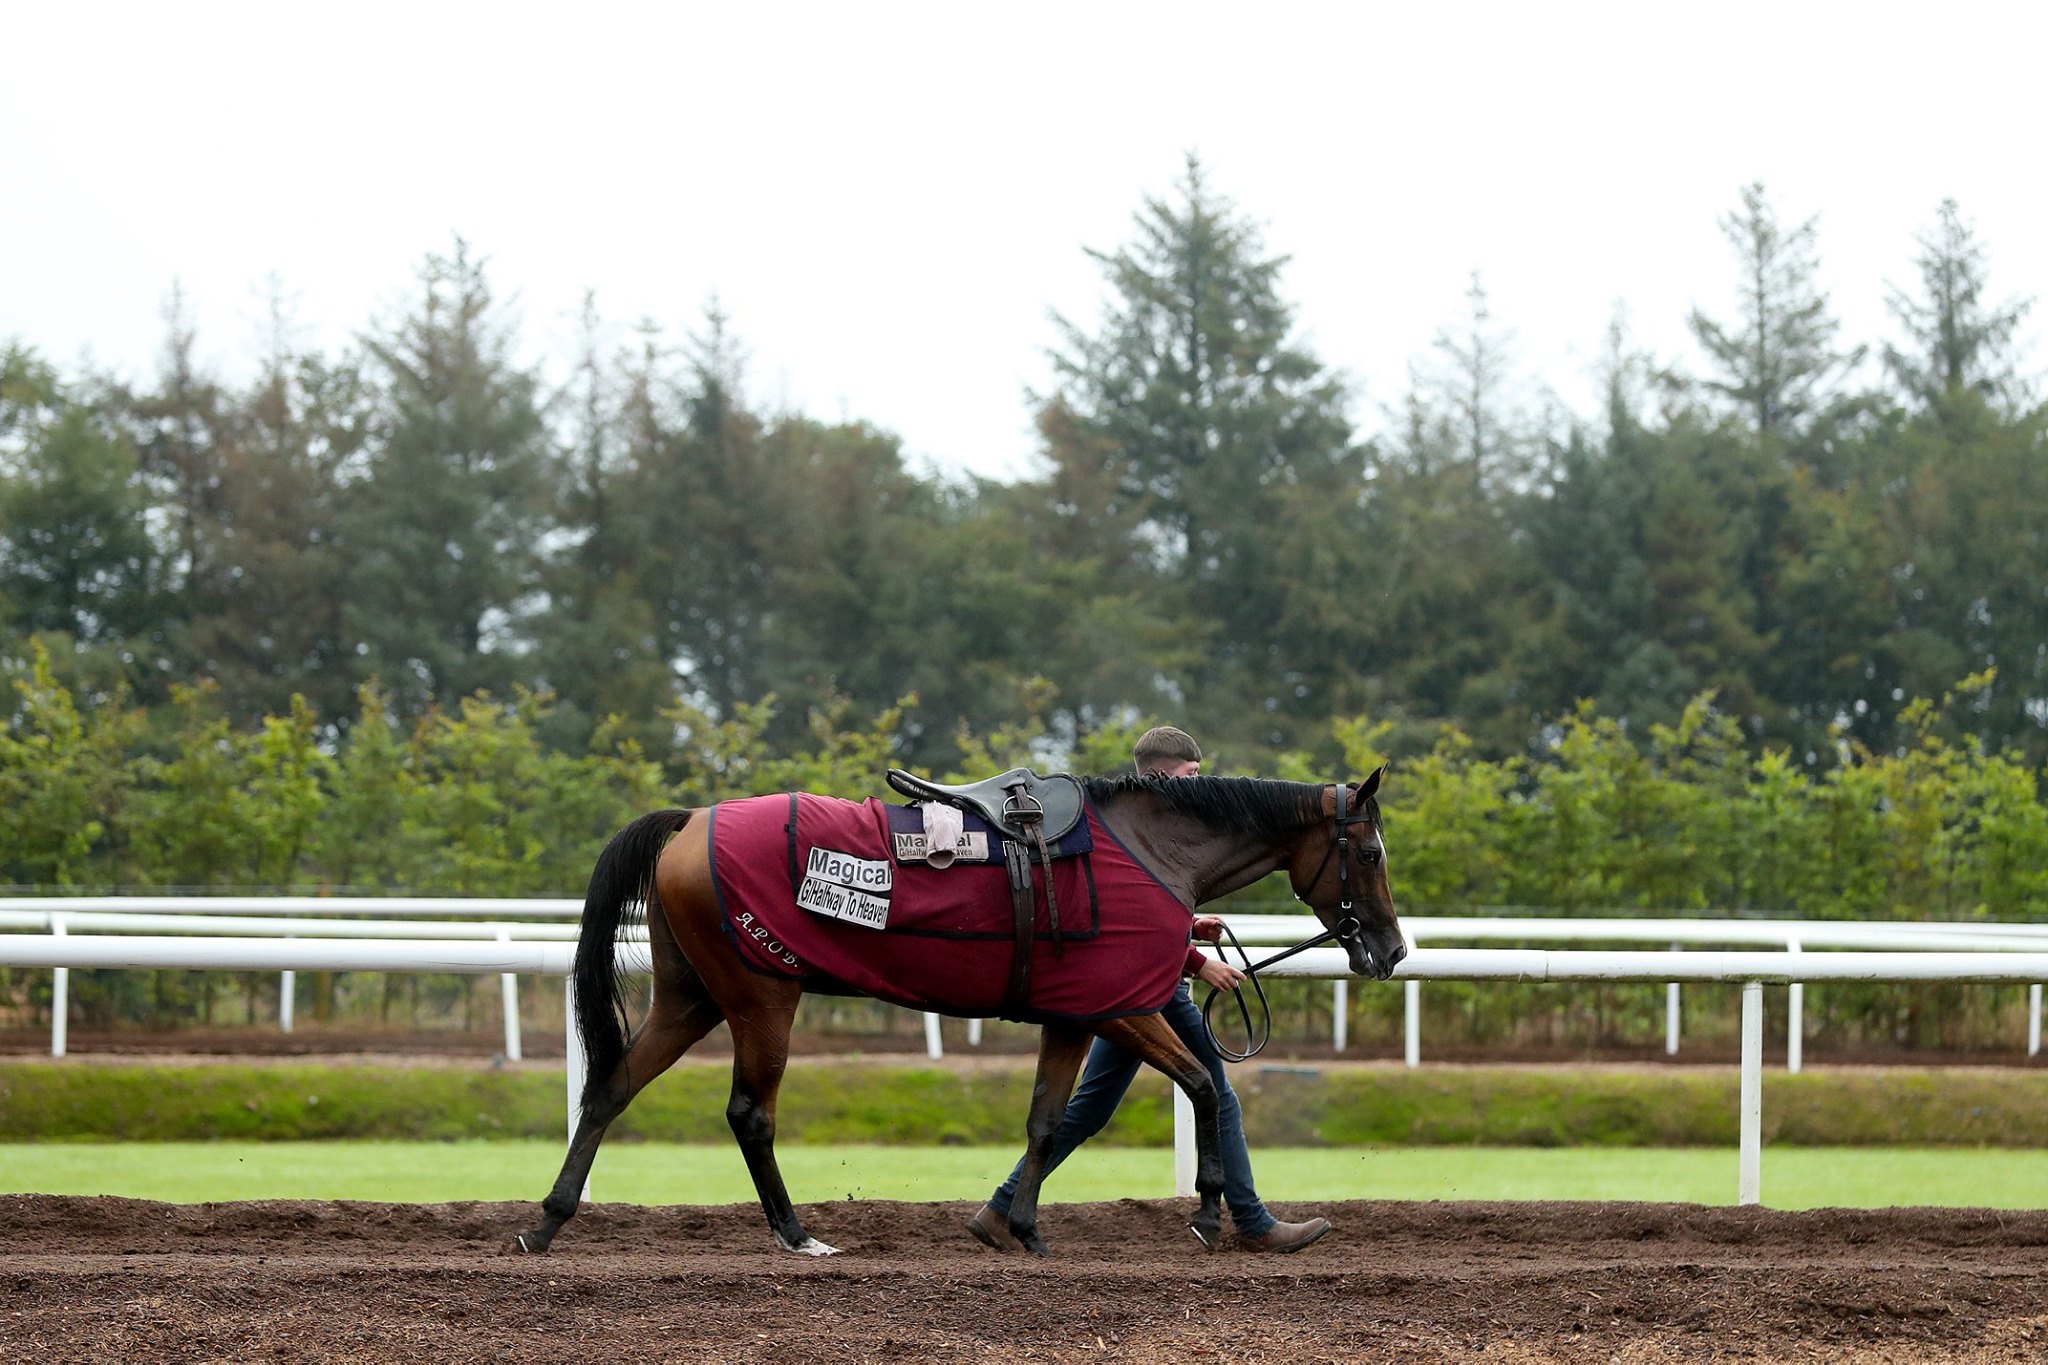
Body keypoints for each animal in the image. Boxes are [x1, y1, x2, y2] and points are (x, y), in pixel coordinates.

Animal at [513, 768, 1404, 1258]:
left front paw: (1020, 1226)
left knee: (611, 1086)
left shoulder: (1073, 1015)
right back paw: (797, 1232)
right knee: (749, 1112)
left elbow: (1048, 1121)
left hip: (690, 995)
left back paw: (547, 1221)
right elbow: (1204, 1082)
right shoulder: (1120, 1006)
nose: (1391, 949)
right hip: (763, 992)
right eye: (1369, 852)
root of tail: (690, 821)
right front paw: (1211, 1207)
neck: (1150, 852)